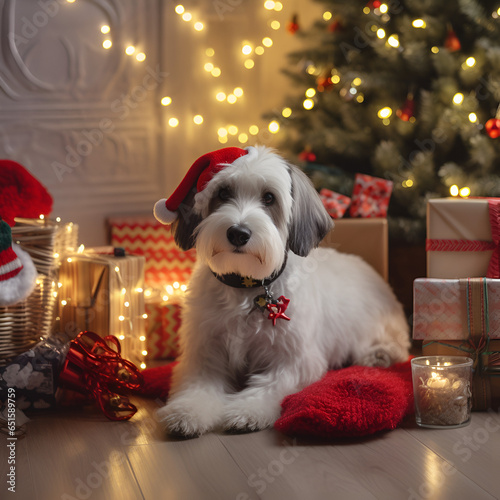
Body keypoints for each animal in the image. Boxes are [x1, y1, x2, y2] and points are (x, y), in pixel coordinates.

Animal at [153, 146, 410, 438]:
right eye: (223, 193)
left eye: (269, 197)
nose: (238, 233)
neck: (248, 285)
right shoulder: (204, 354)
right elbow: (198, 387)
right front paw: (186, 412)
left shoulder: (294, 361)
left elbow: (268, 385)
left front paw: (247, 411)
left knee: (398, 346)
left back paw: (378, 355)